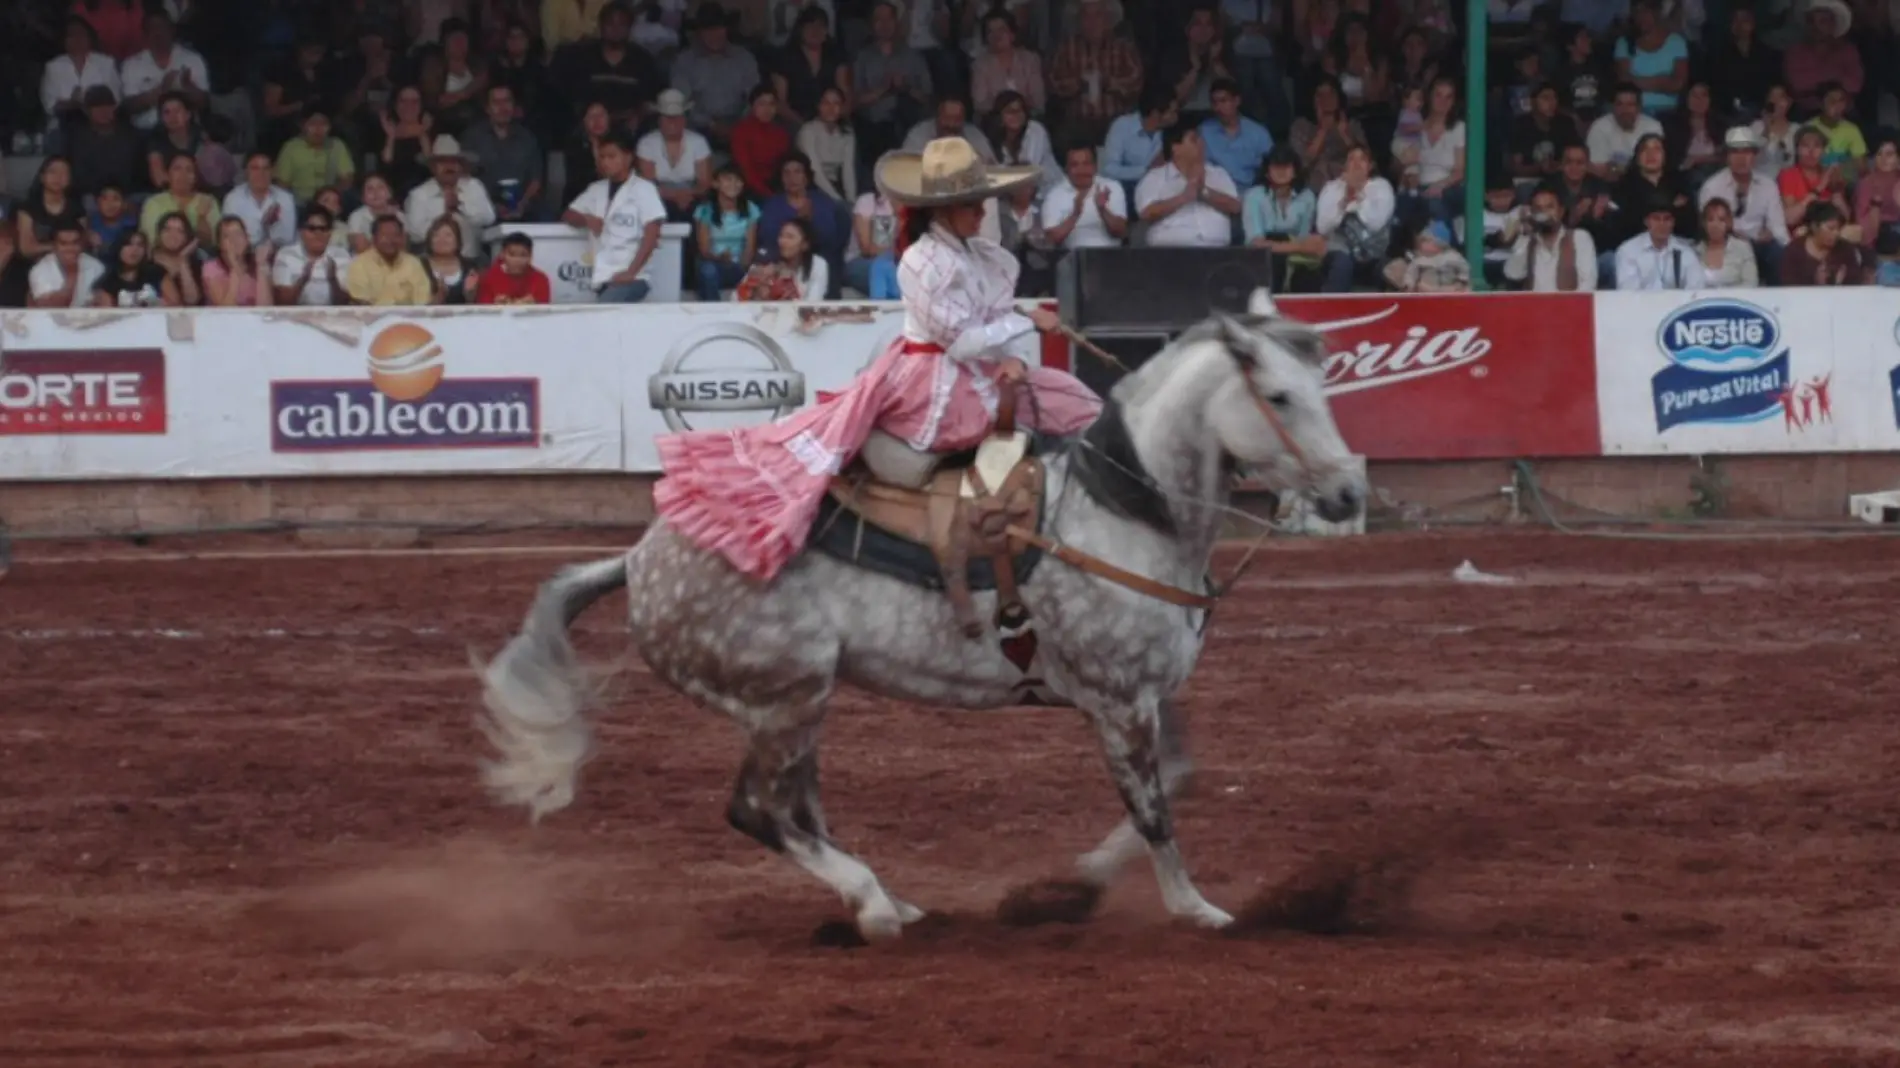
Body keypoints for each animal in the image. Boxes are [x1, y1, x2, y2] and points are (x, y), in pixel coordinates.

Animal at [475, 286, 1368, 934]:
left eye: (1323, 388)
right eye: (1280, 397)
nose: (1348, 494)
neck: (1122, 510)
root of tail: (639, 560)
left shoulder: (1141, 694)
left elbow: (1175, 779)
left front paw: (1070, 886)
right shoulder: (1118, 701)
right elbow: (1152, 809)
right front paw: (1196, 909)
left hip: (796, 707)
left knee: (799, 809)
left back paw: (891, 900)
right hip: (784, 701)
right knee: (756, 810)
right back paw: (874, 906)